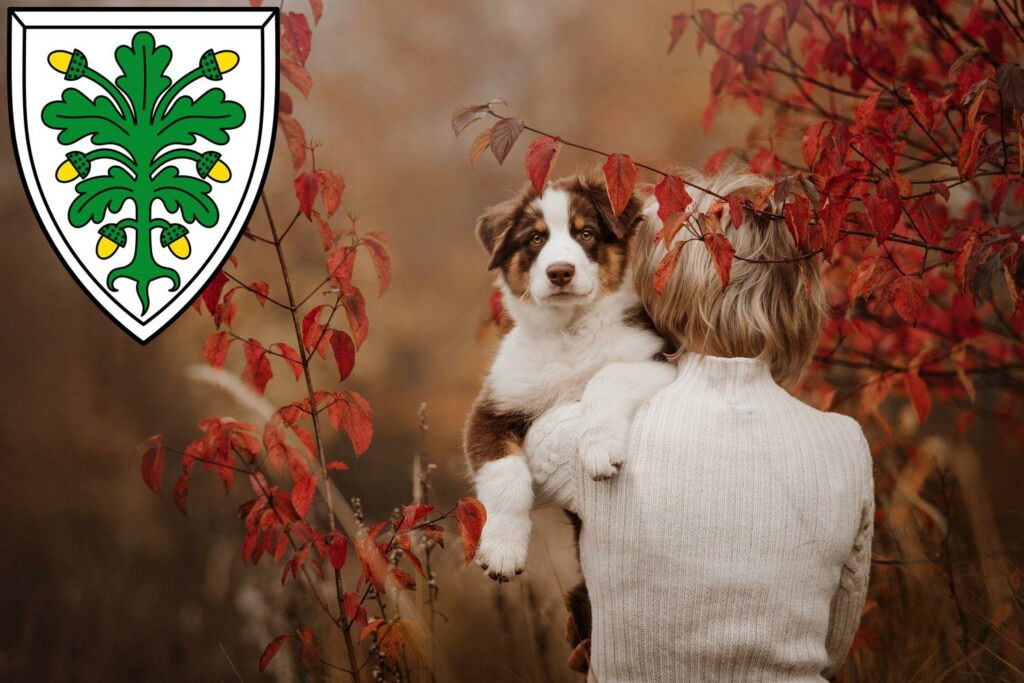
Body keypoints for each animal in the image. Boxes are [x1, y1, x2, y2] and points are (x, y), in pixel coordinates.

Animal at [464, 174, 671, 585]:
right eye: (535, 238)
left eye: (586, 233)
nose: (560, 272)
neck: (567, 332)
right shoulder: (493, 406)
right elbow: (504, 473)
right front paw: (502, 549)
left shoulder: (657, 357)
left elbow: (607, 375)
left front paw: (599, 447)